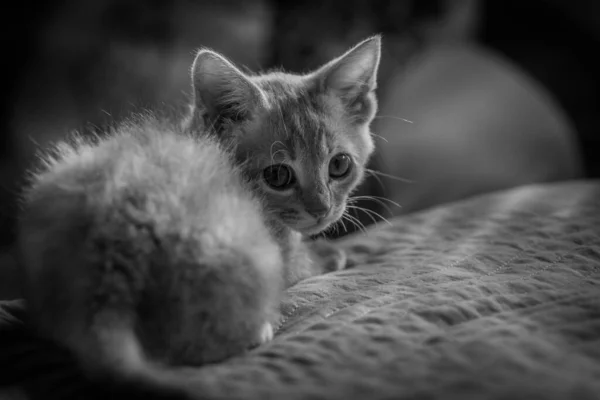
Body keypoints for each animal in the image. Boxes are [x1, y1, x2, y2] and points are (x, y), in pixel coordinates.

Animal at [17, 36, 380, 396]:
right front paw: (329, 253)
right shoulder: (280, 250)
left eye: (339, 165)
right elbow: (302, 261)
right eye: (278, 176)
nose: (321, 210)